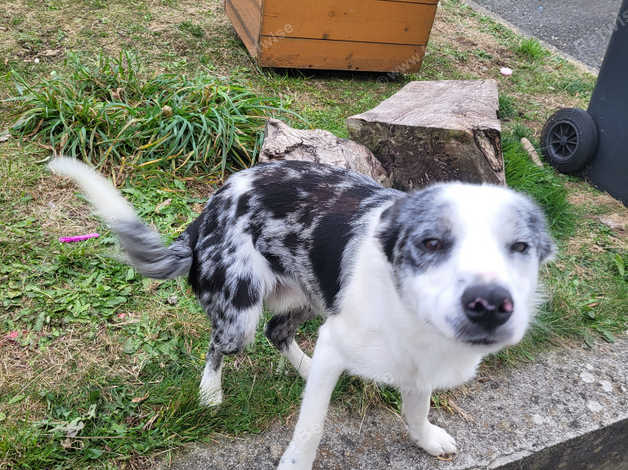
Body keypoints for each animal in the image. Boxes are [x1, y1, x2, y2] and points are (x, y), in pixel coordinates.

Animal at [50, 159, 556, 470]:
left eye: (520, 247)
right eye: (431, 242)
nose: (489, 305)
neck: (407, 313)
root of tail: (208, 209)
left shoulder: (418, 364)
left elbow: (418, 407)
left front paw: (427, 439)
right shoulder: (340, 342)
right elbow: (310, 428)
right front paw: (295, 462)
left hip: (310, 294)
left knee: (279, 332)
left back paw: (307, 368)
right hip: (240, 313)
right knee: (218, 345)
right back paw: (210, 392)